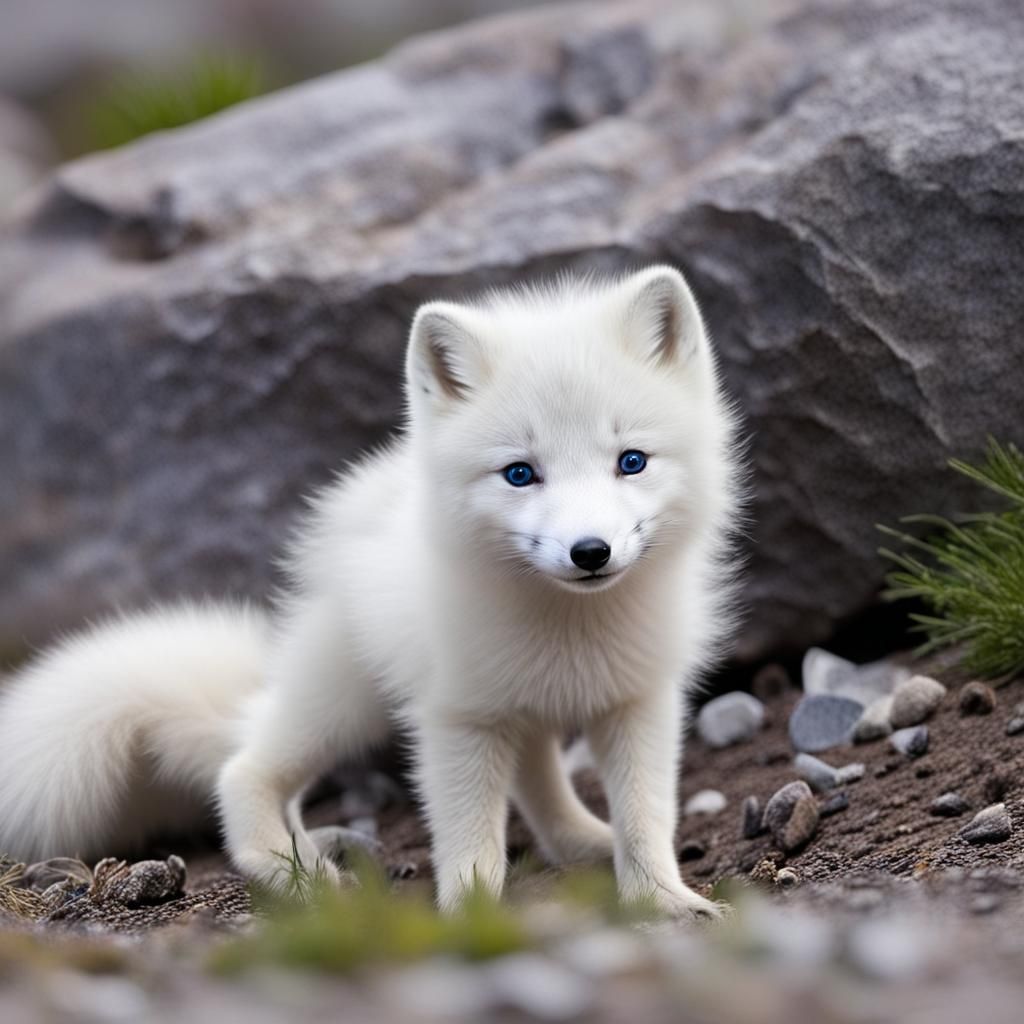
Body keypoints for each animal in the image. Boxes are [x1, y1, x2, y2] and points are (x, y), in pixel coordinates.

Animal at [0, 266, 740, 920]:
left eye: (631, 462)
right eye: (520, 473)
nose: (590, 552)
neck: (572, 626)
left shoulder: (638, 703)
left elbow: (645, 820)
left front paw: (666, 903)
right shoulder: (453, 722)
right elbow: (472, 847)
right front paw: (473, 920)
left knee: (535, 774)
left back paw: (579, 842)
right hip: (343, 702)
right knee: (242, 769)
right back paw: (296, 875)